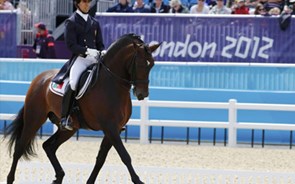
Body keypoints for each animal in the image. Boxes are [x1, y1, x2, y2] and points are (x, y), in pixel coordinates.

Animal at [4, 33, 162, 184]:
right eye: (140, 64)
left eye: (152, 65)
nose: (142, 94)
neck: (112, 84)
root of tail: (40, 78)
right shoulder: (110, 127)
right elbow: (125, 156)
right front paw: (138, 180)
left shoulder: (114, 129)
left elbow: (101, 159)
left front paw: (90, 181)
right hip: (34, 118)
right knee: (19, 147)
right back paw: (10, 179)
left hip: (69, 128)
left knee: (48, 146)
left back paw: (59, 177)